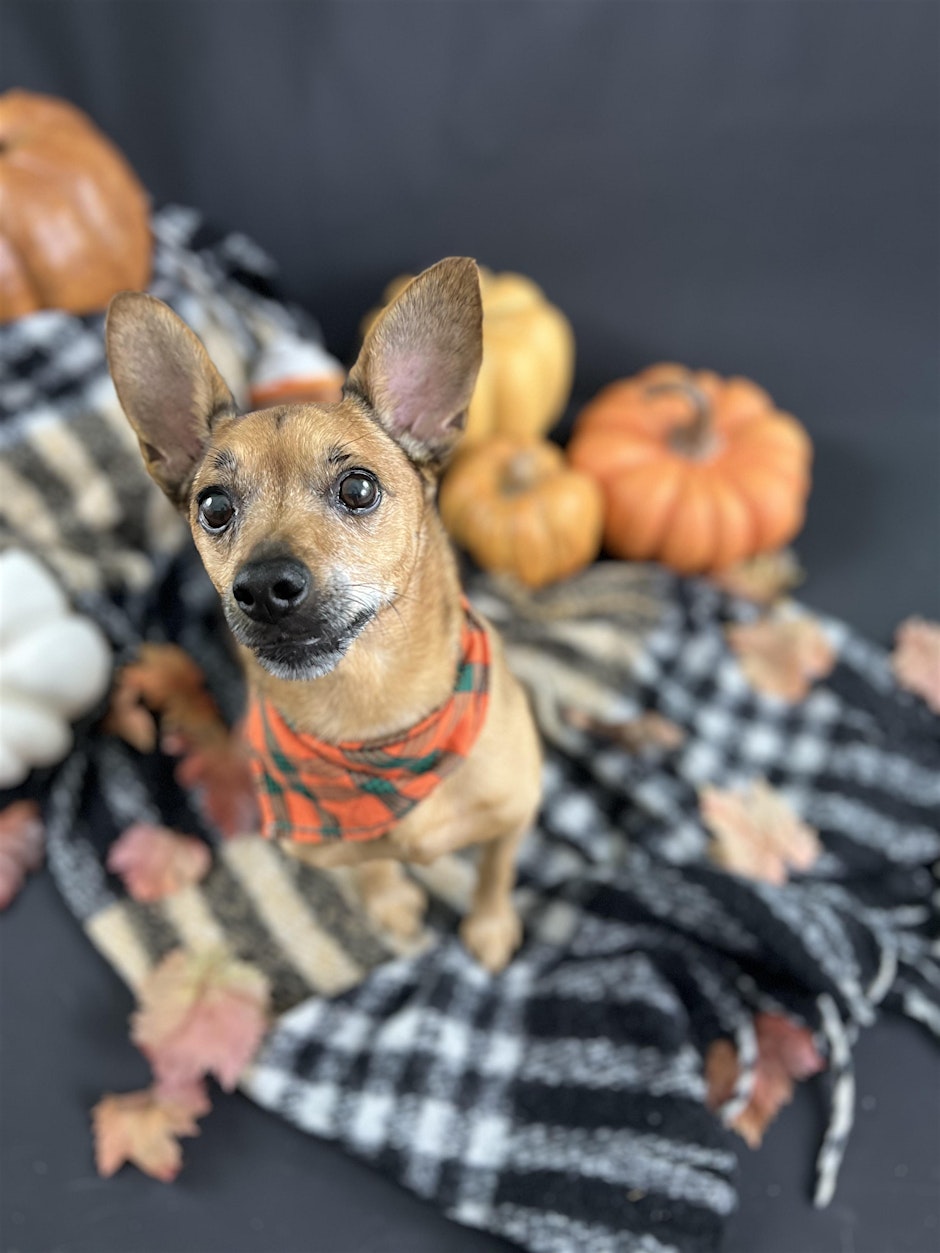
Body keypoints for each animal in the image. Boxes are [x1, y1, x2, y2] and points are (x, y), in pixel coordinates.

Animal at [105, 259, 541, 972]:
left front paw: (490, 926)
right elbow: (369, 865)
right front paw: (389, 900)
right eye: (214, 506)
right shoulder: (333, 848)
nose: (263, 587)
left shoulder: (516, 811)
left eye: (358, 488)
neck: (374, 722)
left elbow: (495, 871)